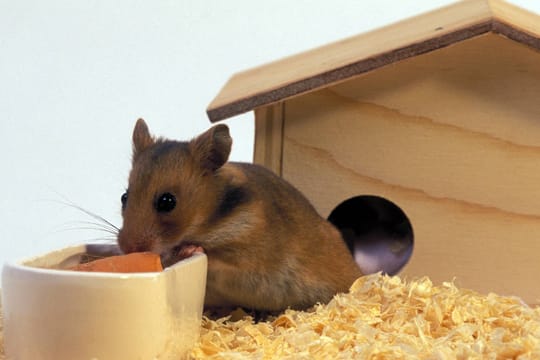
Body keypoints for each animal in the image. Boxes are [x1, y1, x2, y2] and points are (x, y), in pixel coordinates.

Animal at [118, 119, 362, 310]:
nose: (128, 249)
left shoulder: (248, 263)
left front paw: (189, 250)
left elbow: (214, 259)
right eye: (124, 197)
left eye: (167, 202)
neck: (212, 221)